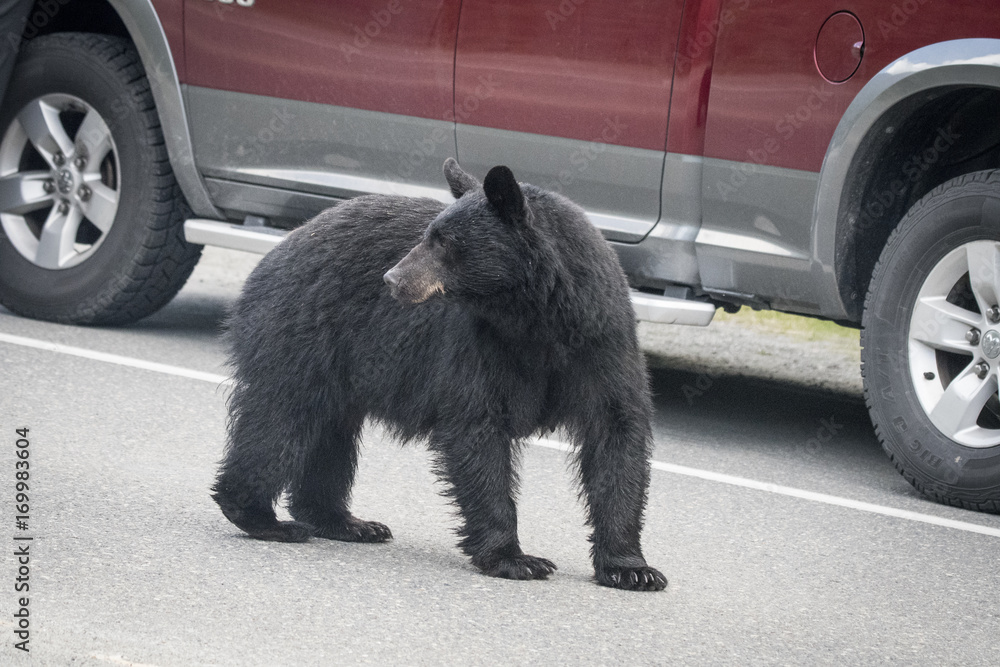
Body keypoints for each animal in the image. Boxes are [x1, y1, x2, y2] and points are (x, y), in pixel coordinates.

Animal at [212, 159, 667, 591]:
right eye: (429, 235)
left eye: (443, 241)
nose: (391, 278)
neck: (537, 321)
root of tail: (283, 245)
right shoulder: (479, 344)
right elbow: (476, 427)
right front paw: (515, 559)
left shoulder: (601, 344)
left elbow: (616, 433)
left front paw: (632, 569)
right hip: (302, 333)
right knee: (280, 421)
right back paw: (264, 518)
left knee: (329, 435)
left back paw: (346, 522)